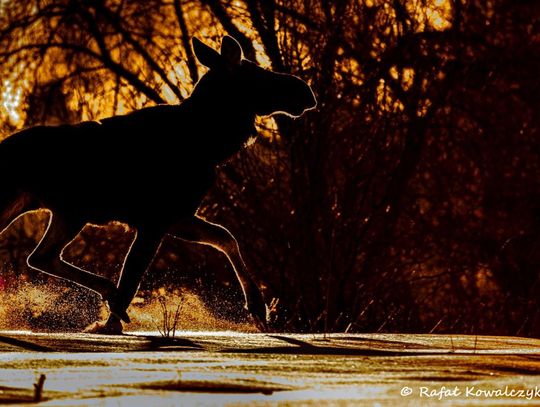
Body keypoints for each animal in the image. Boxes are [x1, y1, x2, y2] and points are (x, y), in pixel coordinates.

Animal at [0, 35, 316, 334]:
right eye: (259, 74)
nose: (306, 91)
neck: (212, 143)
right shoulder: (155, 220)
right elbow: (132, 277)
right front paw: (109, 324)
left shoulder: (174, 216)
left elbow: (224, 237)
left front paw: (258, 308)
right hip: (55, 210)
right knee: (43, 256)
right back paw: (109, 295)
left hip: (59, 212)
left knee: (41, 256)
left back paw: (107, 292)